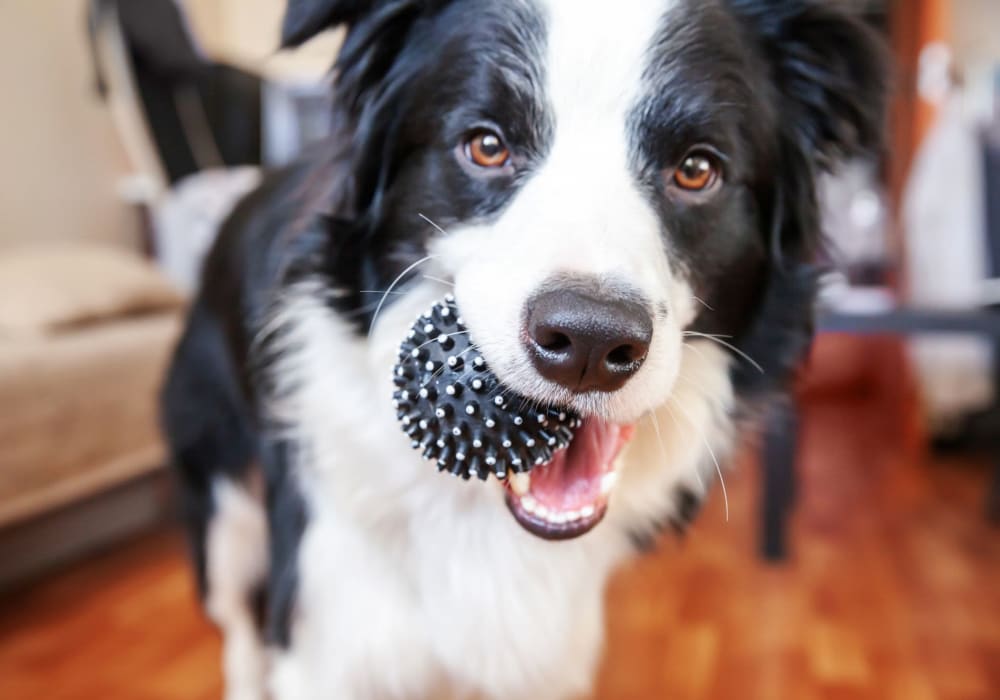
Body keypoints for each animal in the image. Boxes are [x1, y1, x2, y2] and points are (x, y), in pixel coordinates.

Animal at [160, 2, 888, 696]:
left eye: (697, 170)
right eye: (486, 146)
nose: (590, 340)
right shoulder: (330, 632)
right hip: (222, 506)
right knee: (237, 623)